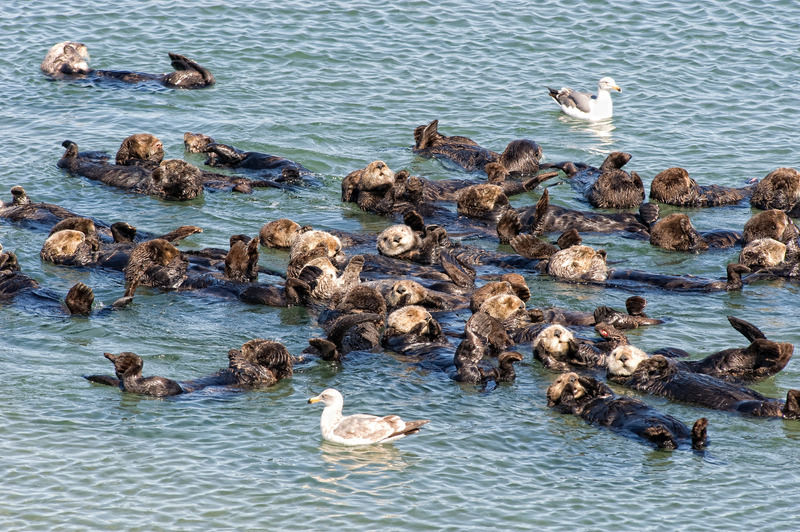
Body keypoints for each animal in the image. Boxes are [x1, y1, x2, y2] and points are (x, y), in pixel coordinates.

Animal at [41, 42, 215, 89]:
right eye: (72, 43)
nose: (83, 44)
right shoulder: (67, 71)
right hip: (174, 80)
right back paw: (177, 60)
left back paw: (177, 57)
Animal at [546, 372, 708, 450]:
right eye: (559, 381)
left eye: (574, 374)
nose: (573, 379)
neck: (587, 398)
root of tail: (684, 442)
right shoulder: (568, 408)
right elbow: (567, 402)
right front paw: (568, 388)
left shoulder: (605, 393)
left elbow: (602, 387)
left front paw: (586, 379)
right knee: (669, 444)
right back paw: (660, 432)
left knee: (700, 442)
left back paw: (699, 426)